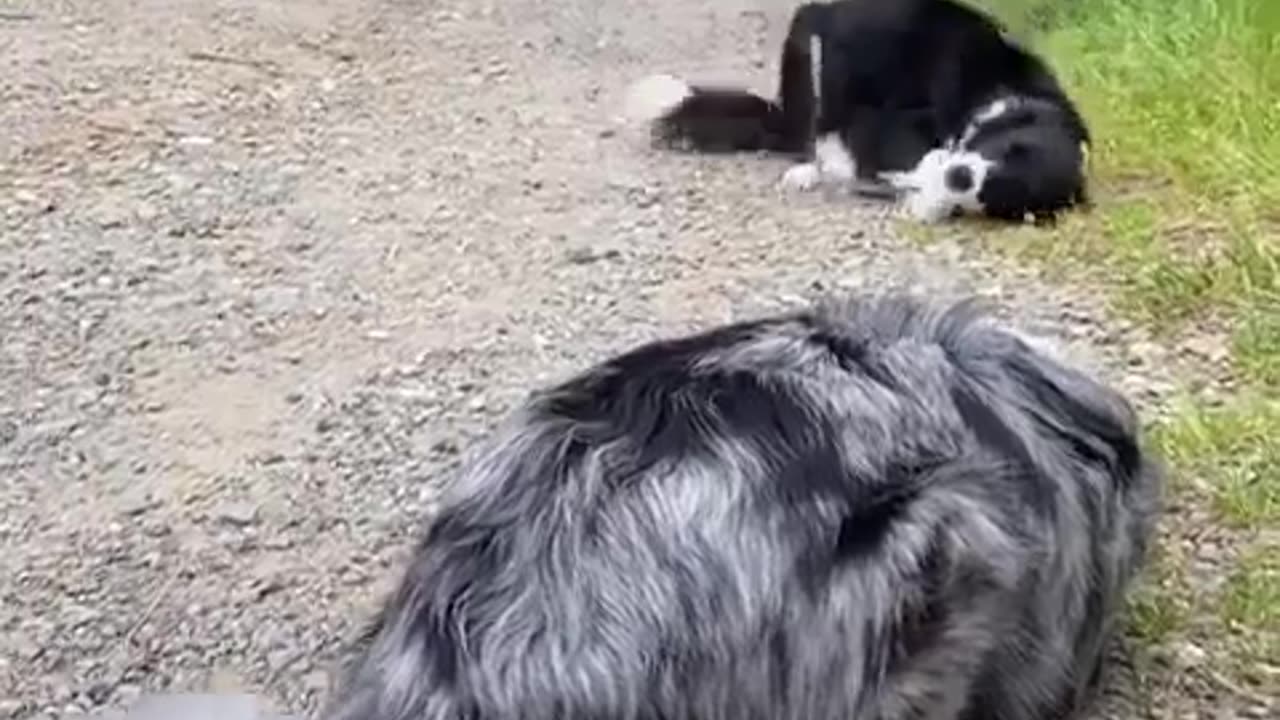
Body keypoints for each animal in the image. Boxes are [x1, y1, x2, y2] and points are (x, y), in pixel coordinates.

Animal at [627, 0, 1090, 221]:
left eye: (1002, 192)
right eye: (1006, 148)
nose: (960, 177)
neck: (1003, 93)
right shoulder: (899, 117)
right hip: (814, 44)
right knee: (813, 134)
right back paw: (814, 168)